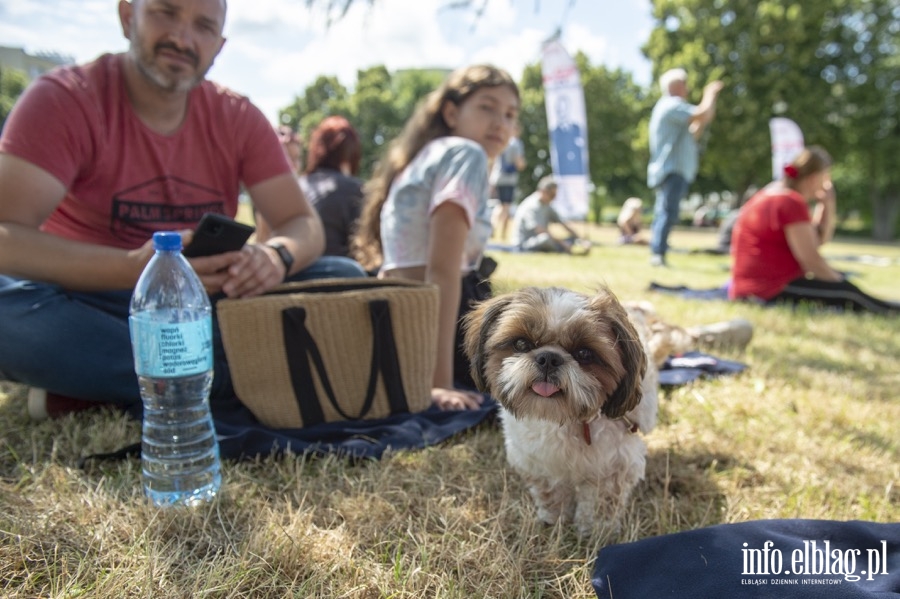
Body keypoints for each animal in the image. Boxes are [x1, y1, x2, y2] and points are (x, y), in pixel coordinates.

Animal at [460, 284, 656, 536]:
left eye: (584, 353)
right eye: (521, 344)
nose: (548, 358)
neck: (564, 418)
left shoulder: (613, 466)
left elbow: (600, 499)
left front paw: (594, 529)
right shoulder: (539, 462)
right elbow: (551, 491)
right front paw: (554, 517)